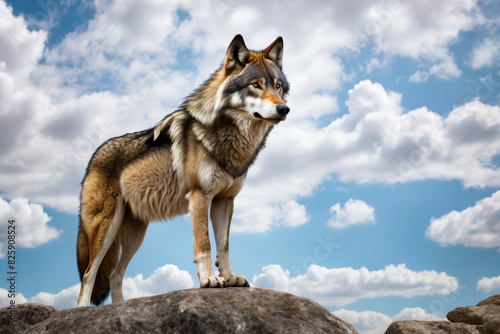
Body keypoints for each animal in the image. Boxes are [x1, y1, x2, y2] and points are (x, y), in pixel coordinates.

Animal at [76, 35, 292, 306]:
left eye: (278, 86)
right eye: (256, 85)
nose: (284, 109)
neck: (231, 141)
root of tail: (92, 157)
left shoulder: (225, 200)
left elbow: (224, 246)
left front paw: (230, 278)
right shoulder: (200, 196)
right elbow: (205, 244)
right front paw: (209, 280)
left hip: (136, 234)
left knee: (115, 275)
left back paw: (120, 307)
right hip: (106, 229)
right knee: (88, 274)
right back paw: (83, 310)